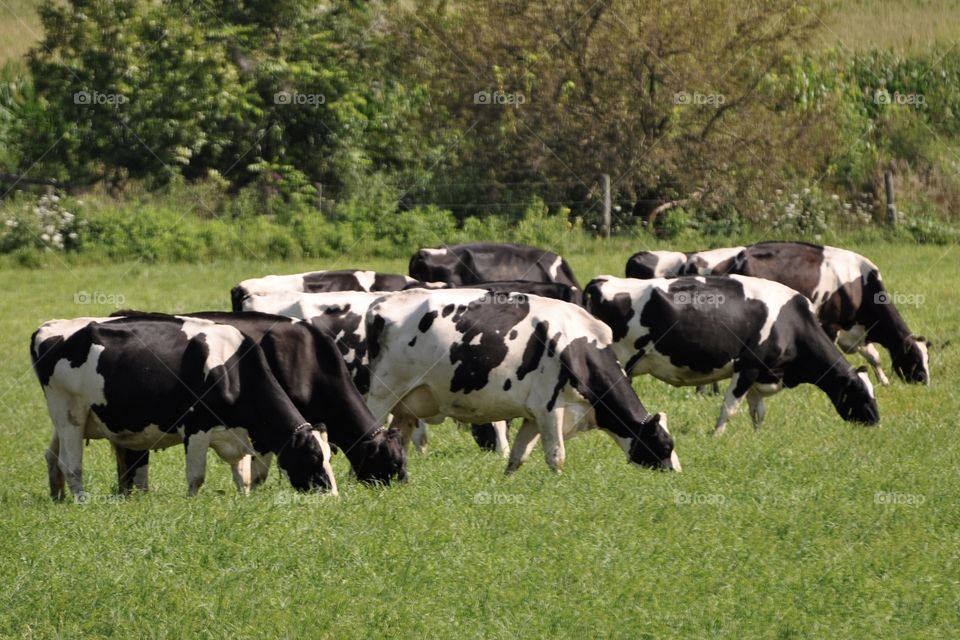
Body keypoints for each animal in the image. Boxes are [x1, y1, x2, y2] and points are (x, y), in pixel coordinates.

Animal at [31, 315, 337, 501]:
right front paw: (192, 503)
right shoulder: (196, 427)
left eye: (329, 456)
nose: (333, 498)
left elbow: (243, 478)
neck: (234, 370)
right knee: (71, 464)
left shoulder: (234, 435)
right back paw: (81, 501)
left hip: (72, 419)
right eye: (312, 457)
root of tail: (48, 327)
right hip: (69, 413)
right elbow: (197, 476)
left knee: (52, 457)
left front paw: (244, 500)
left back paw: (58, 498)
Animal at [362, 288, 681, 474]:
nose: (675, 474)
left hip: (407, 405)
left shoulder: (533, 414)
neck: (580, 347)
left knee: (397, 438)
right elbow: (556, 456)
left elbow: (518, 456)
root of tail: (382, 302)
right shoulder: (551, 408)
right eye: (666, 445)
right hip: (381, 394)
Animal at [584, 275, 880, 434]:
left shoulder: (763, 373)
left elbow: (757, 411)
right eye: (860, 394)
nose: (876, 423)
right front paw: (717, 435)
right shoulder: (748, 366)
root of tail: (602, 281)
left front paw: (758, 436)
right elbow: (730, 407)